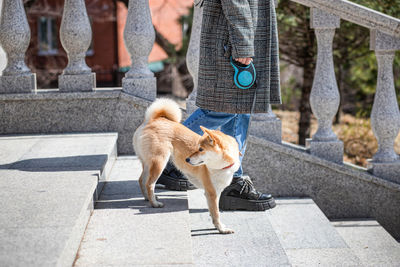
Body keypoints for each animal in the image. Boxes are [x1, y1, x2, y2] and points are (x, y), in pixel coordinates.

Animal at [134, 99, 241, 234]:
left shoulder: (217, 191)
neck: (219, 168)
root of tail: (152, 119)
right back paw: (154, 203)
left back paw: (148, 198)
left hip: (148, 164)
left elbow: (213, 211)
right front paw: (221, 229)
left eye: (201, 149)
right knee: (149, 184)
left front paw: (216, 224)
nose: (187, 159)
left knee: (141, 180)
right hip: (159, 163)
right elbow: (216, 213)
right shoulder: (212, 192)